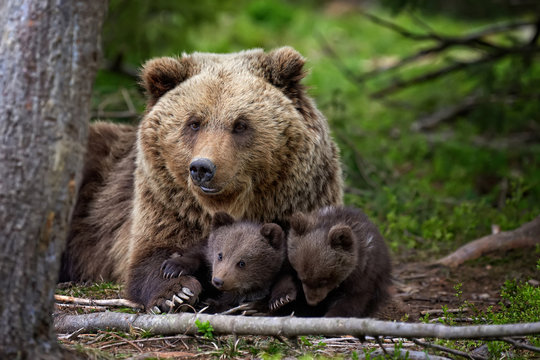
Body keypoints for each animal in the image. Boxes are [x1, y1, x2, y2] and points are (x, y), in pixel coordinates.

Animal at [61, 47, 342, 312]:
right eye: (194, 123)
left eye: (240, 124)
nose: (202, 168)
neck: (228, 205)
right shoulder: (167, 205)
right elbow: (149, 258)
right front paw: (176, 292)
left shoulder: (298, 202)